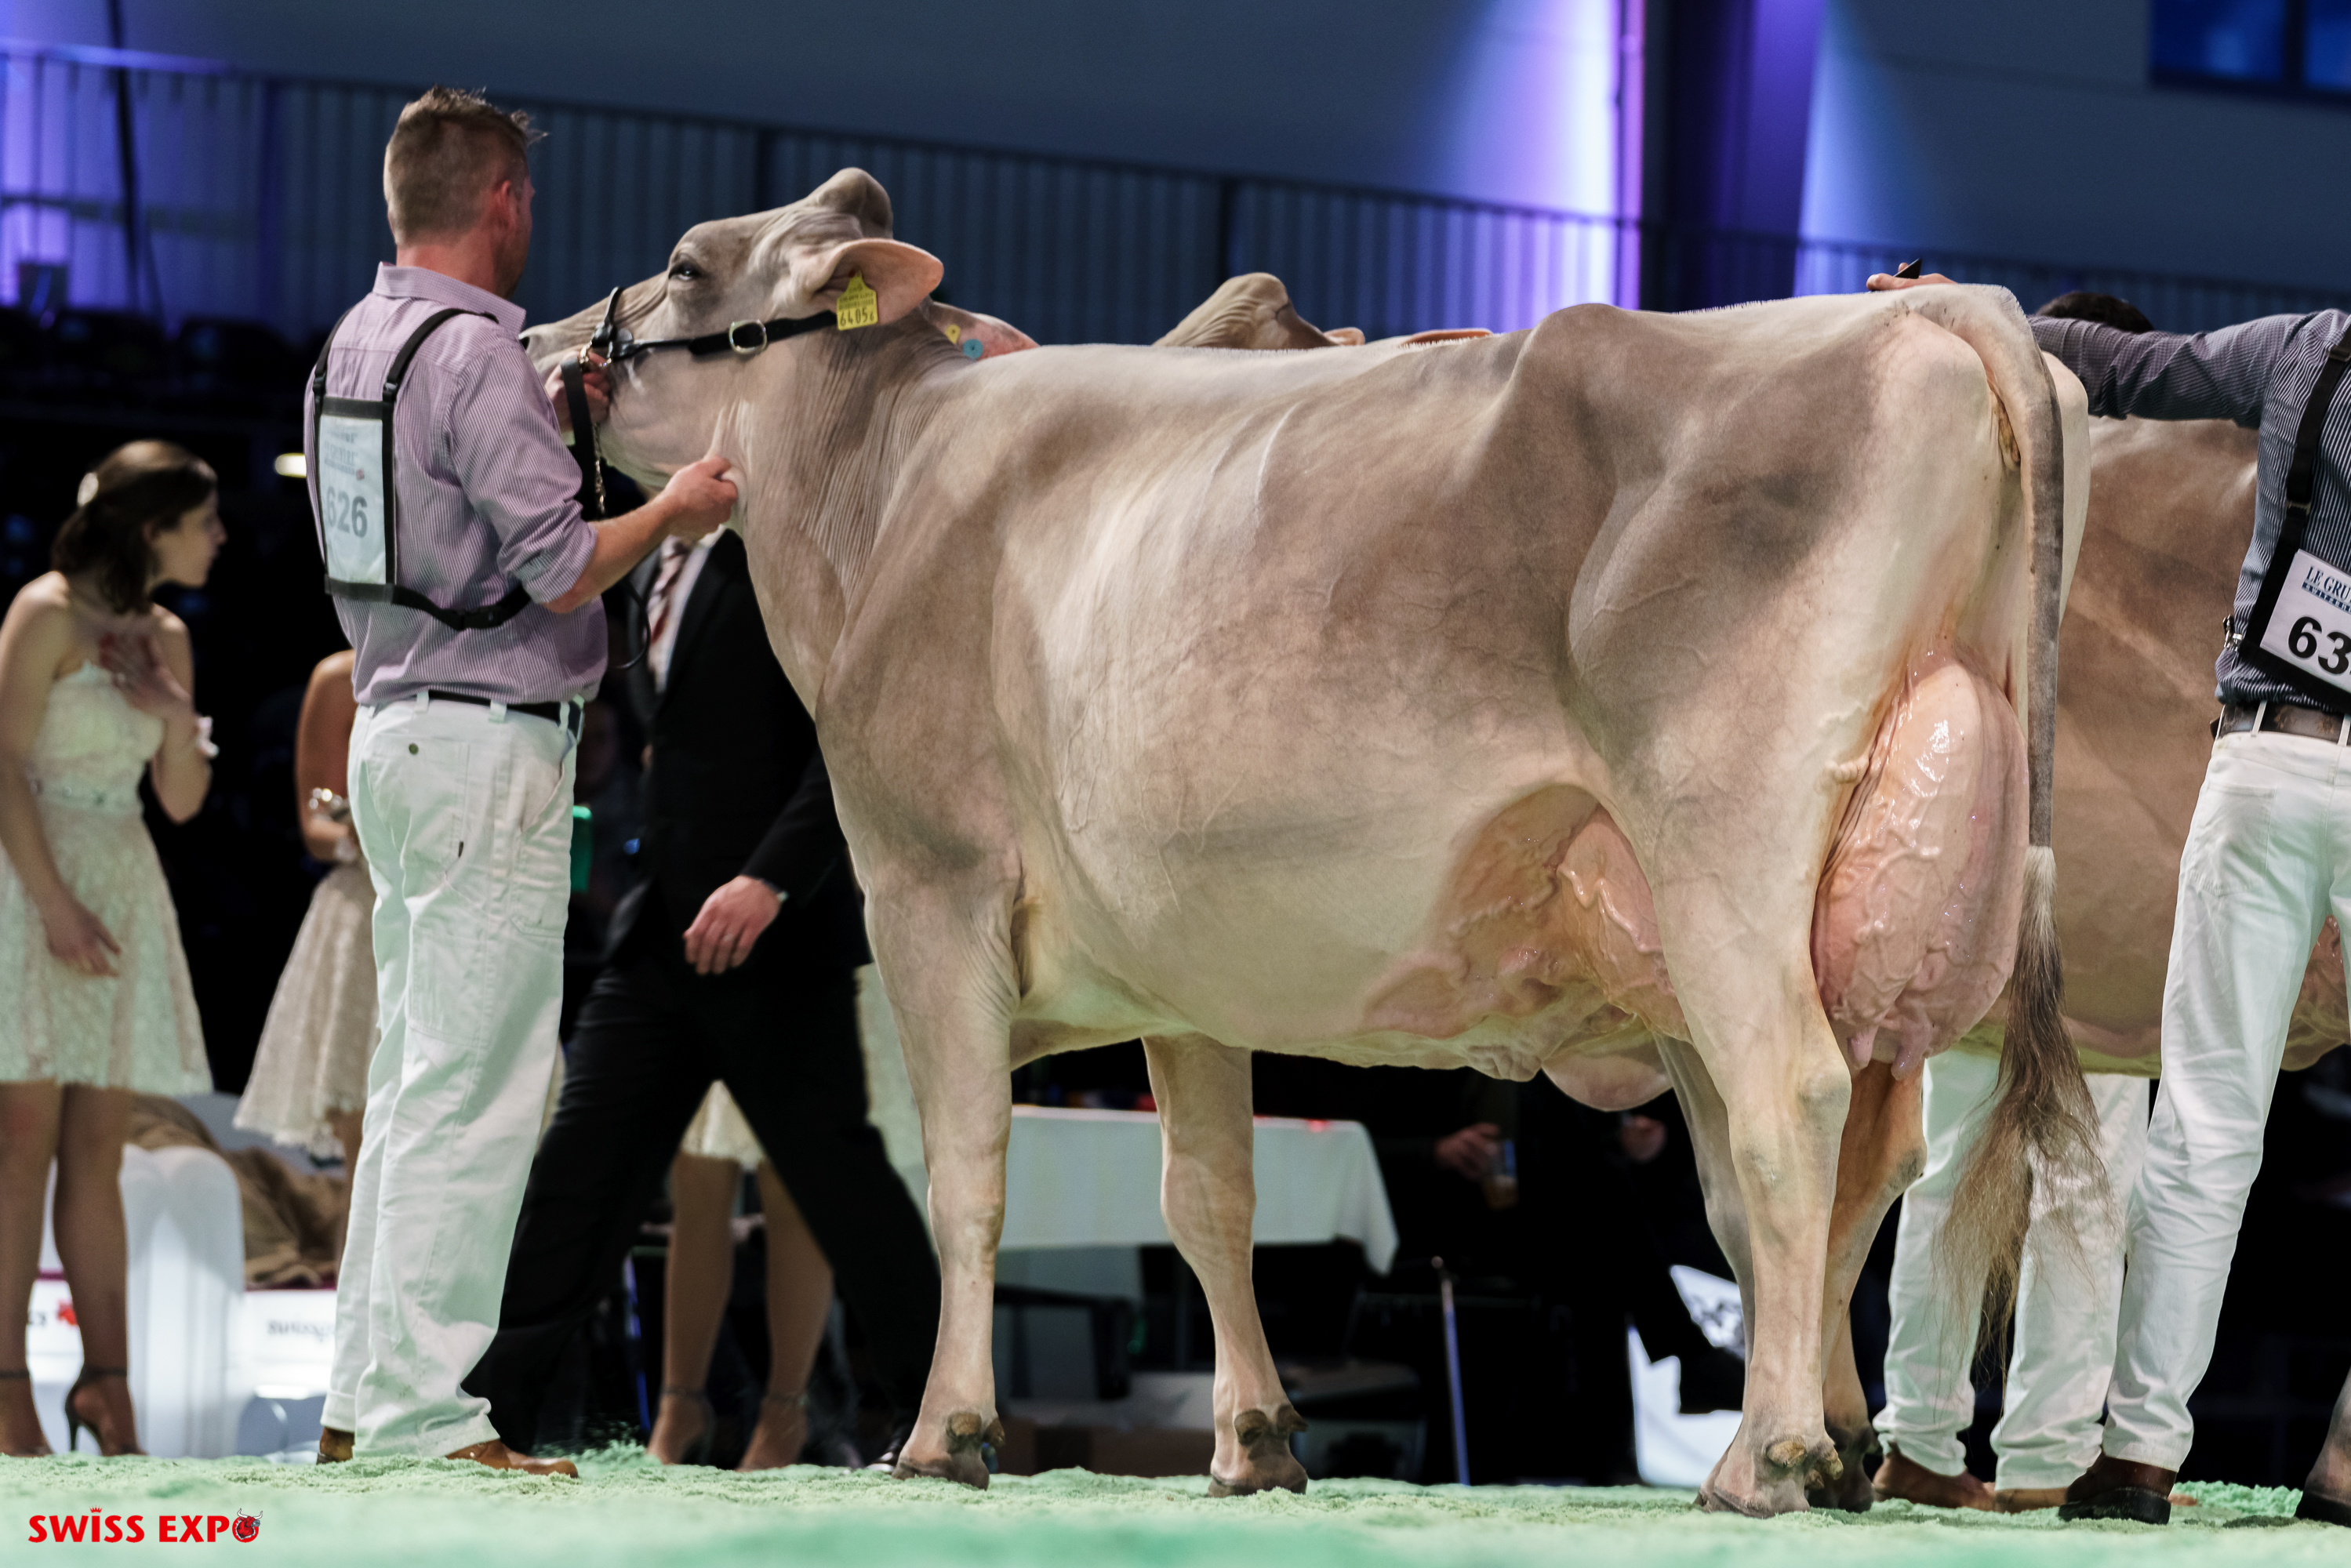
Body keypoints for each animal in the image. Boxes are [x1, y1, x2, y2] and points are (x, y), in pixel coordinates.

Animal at [524, 168, 2098, 1516]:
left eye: (684, 264)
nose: (545, 340)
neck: (884, 493)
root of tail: (1911, 311)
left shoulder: (928, 887)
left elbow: (962, 1173)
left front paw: (942, 1432)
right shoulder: (1179, 970)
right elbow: (1208, 1200)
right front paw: (1253, 1440)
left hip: (1729, 854)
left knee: (1790, 1113)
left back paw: (1764, 1456)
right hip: (1837, 905)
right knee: (1856, 1158)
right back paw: (1833, 1444)